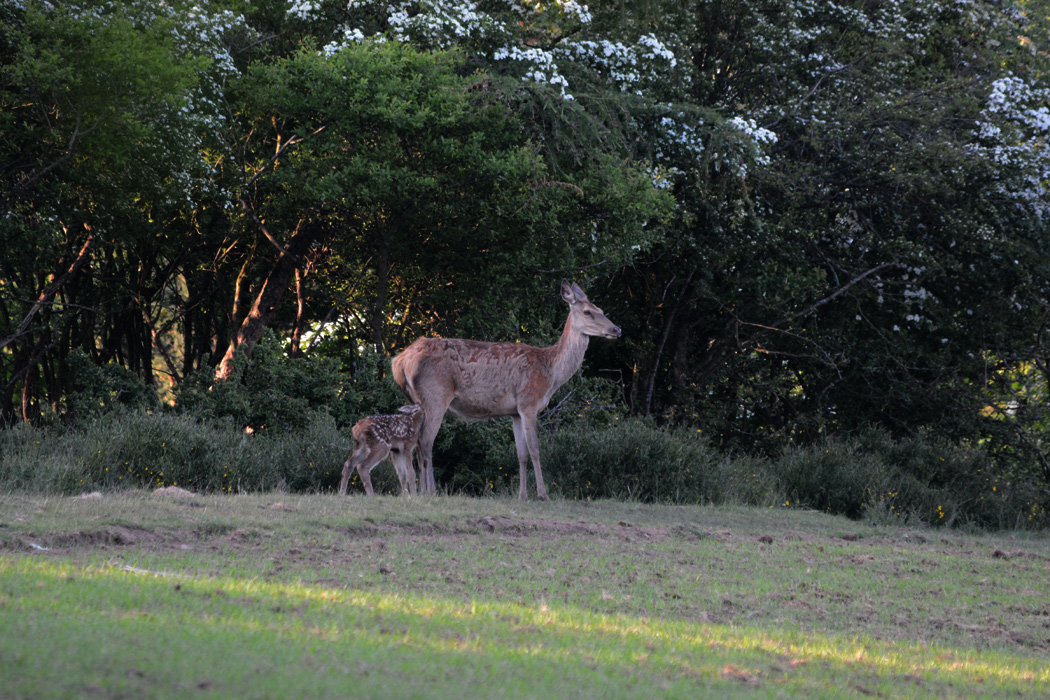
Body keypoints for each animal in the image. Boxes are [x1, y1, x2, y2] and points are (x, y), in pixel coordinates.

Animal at [390, 281, 617, 501]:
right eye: (587, 312)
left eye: (601, 309)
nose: (617, 329)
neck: (550, 372)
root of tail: (399, 361)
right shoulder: (528, 402)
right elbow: (535, 449)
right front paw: (542, 495)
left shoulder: (514, 412)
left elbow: (521, 453)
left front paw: (522, 496)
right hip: (435, 397)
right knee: (425, 443)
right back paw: (429, 492)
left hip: (417, 401)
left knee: (418, 444)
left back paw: (422, 491)